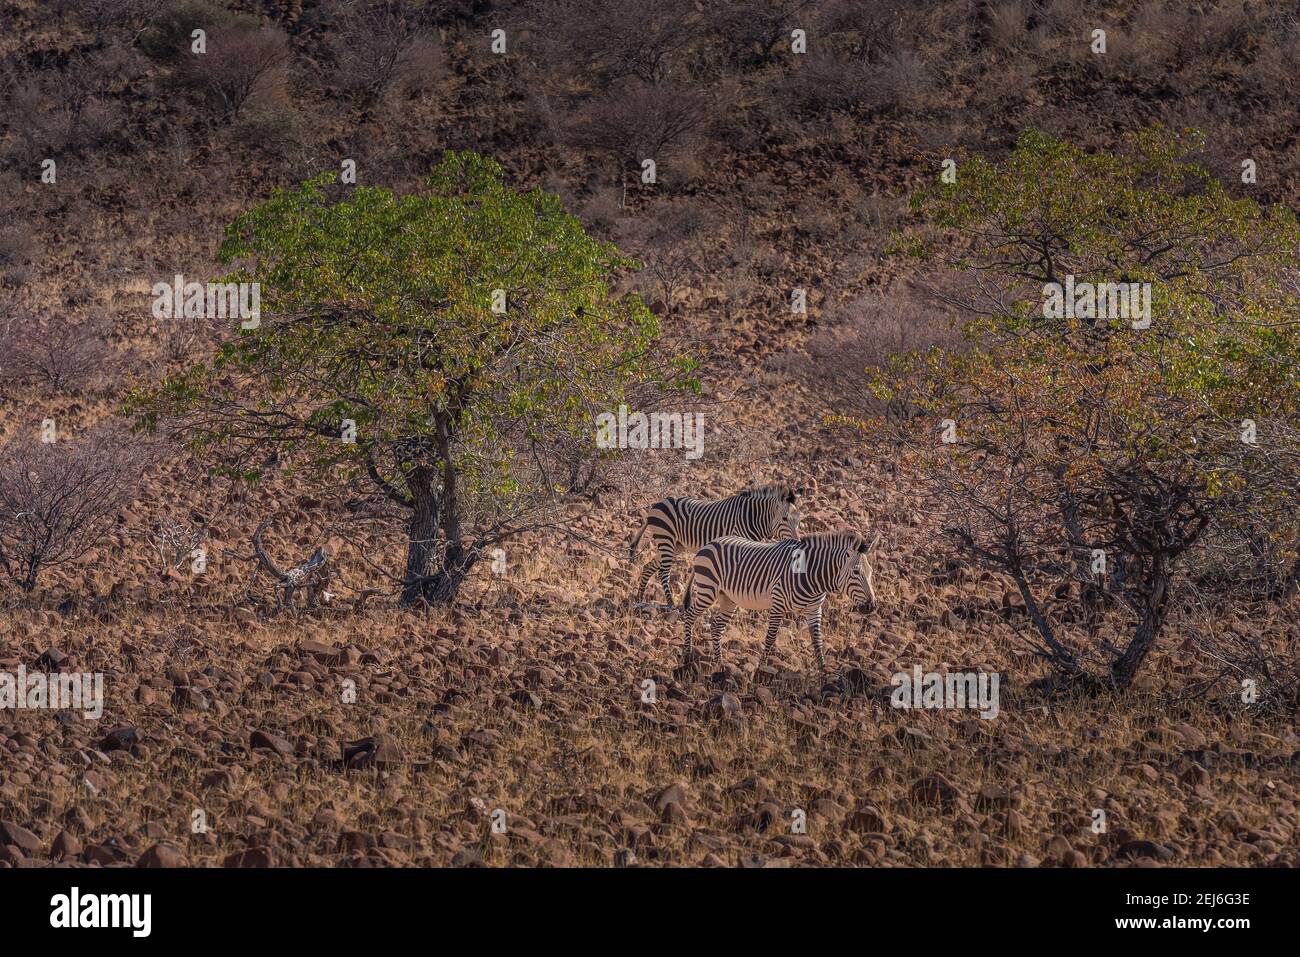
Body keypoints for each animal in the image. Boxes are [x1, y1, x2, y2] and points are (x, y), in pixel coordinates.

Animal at [628, 483, 803, 608]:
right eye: (785, 519)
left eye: (798, 520)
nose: (798, 544)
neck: (753, 517)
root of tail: (657, 504)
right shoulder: (736, 543)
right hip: (667, 539)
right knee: (663, 571)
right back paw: (670, 603)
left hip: (676, 545)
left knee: (649, 566)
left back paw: (640, 597)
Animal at [681, 530, 880, 677]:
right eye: (856, 572)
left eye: (871, 572)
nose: (870, 606)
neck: (810, 574)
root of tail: (709, 543)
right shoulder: (778, 605)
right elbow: (770, 638)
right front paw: (761, 669)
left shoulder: (814, 610)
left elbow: (817, 640)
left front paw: (823, 672)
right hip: (708, 589)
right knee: (689, 616)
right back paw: (687, 657)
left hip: (728, 598)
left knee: (716, 626)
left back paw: (719, 662)